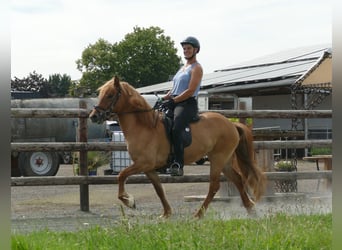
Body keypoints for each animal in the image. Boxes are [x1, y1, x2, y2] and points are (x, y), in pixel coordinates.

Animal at [89, 76, 268, 219]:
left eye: (110, 95)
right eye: (100, 94)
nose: (94, 116)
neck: (144, 126)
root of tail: (231, 124)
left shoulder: (143, 164)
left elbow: (121, 176)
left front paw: (129, 201)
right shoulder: (149, 168)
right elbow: (159, 189)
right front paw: (166, 213)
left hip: (218, 159)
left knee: (214, 186)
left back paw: (199, 214)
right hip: (225, 161)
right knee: (237, 179)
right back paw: (250, 209)